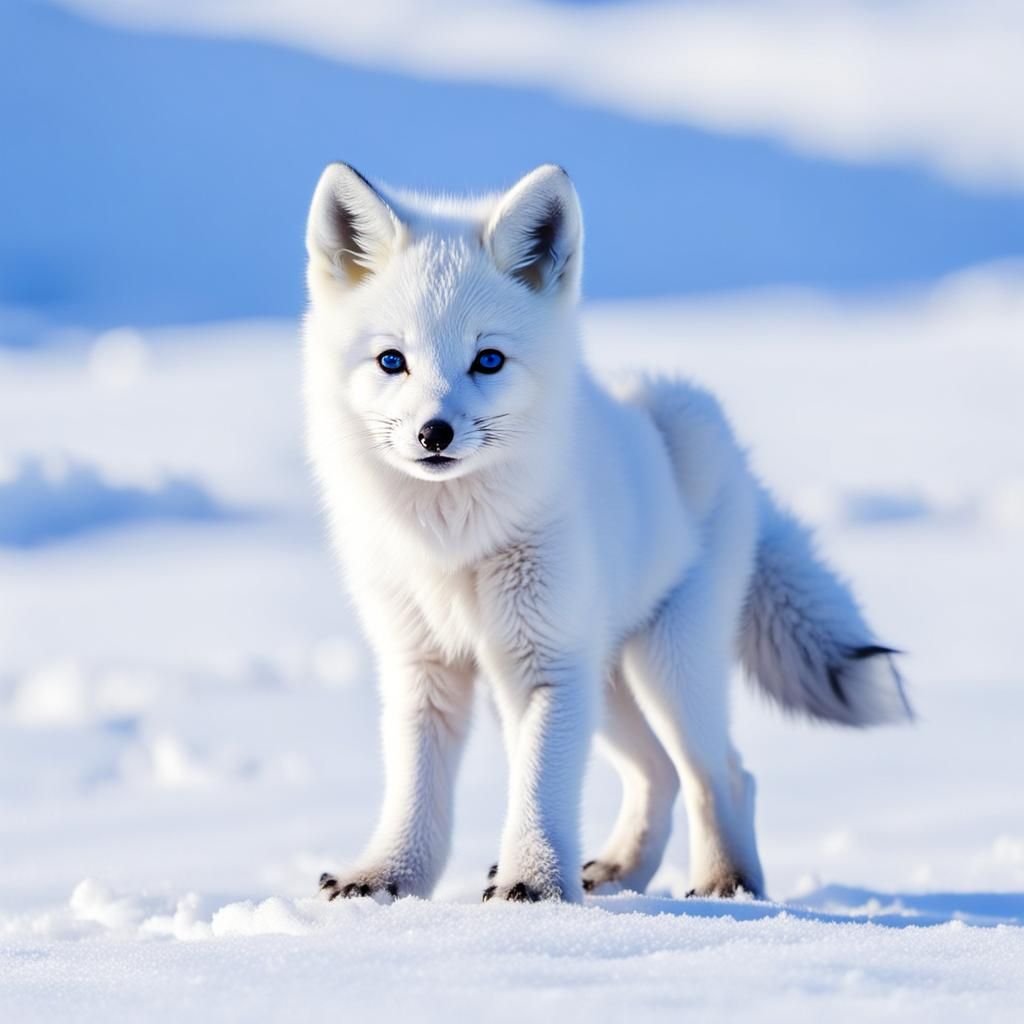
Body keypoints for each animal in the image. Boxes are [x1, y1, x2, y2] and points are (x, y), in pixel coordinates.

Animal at [303, 163, 911, 904]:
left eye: (488, 361)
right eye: (392, 361)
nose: (434, 434)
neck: (454, 543)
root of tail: (697, 423)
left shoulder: (547, 663)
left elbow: (540, 788)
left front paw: (532, 885)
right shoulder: (423, 664)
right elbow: (417, 794)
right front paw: (388, 878)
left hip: (666, 667)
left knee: (723, 773)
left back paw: (727, 883)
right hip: (601, 685)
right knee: (659, 774)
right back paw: (619, 872)